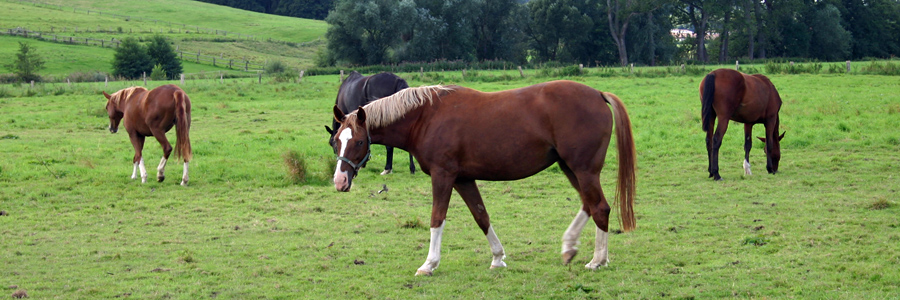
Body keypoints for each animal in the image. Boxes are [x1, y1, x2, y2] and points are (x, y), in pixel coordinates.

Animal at [326, 80, 636, 276]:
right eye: (335, 142)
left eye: (358, 142)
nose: (340, 182)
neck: (425, 117)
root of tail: (598, 94)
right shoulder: (463, 179)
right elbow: (481, 216)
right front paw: (498, 258)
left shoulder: (443, 175)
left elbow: (437, 219)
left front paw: (429, 264)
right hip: (570, 167)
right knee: (589, 205)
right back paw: (570, 247)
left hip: (583, 169)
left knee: (600, 208)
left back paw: (598, 260)